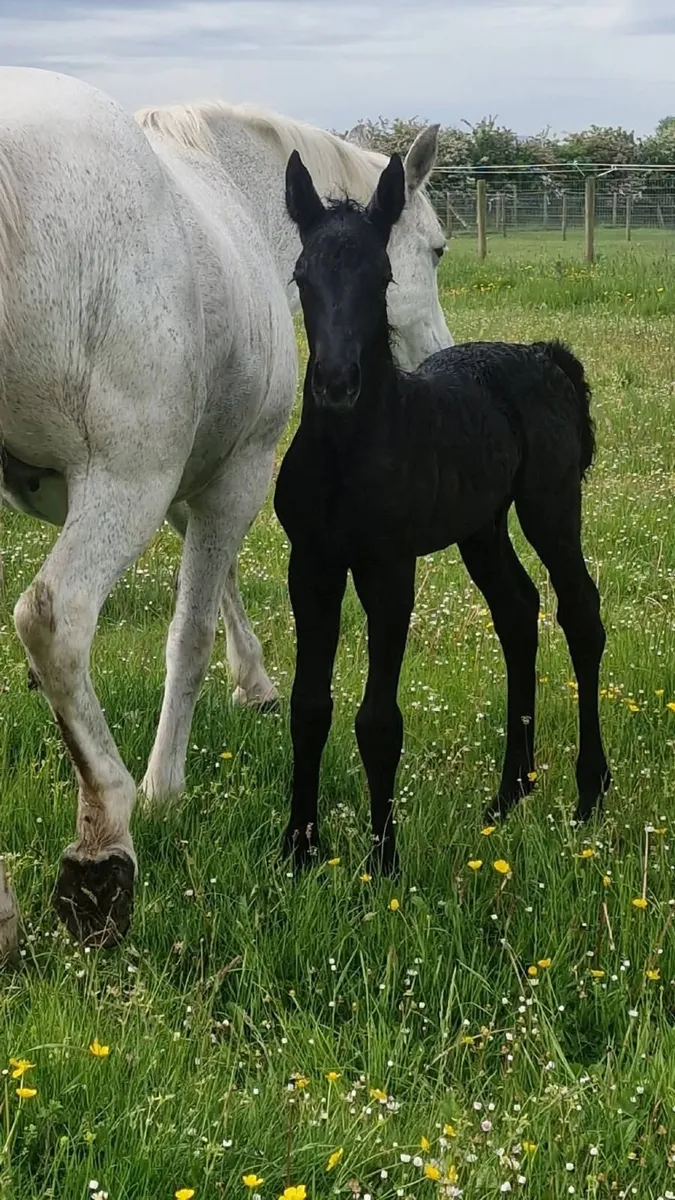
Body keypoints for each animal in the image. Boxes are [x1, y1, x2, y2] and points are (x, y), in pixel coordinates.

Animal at [0, 66, 452, 953]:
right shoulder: (232, 474)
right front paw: (165, 787)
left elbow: (221, 586)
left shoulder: (199, 481)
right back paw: (103, 844)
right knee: (54, 620)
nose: (442, 356)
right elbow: (191, 632)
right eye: (435, 251)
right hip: (126, 482)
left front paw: (256, 684)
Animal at [275, 150, 611, 875]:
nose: (336, 384)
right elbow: (307, 705)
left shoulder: (388, 569)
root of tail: (544, 355)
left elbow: (377, 720)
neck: (345, 457)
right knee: (517, 610)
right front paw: (299, 849)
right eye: (300, 275)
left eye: (382, 276)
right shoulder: (310, 565)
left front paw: (382, 863)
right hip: (480, 526)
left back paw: (588, 791)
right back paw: (510, 791)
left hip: (549, 504)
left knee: (580, 613)